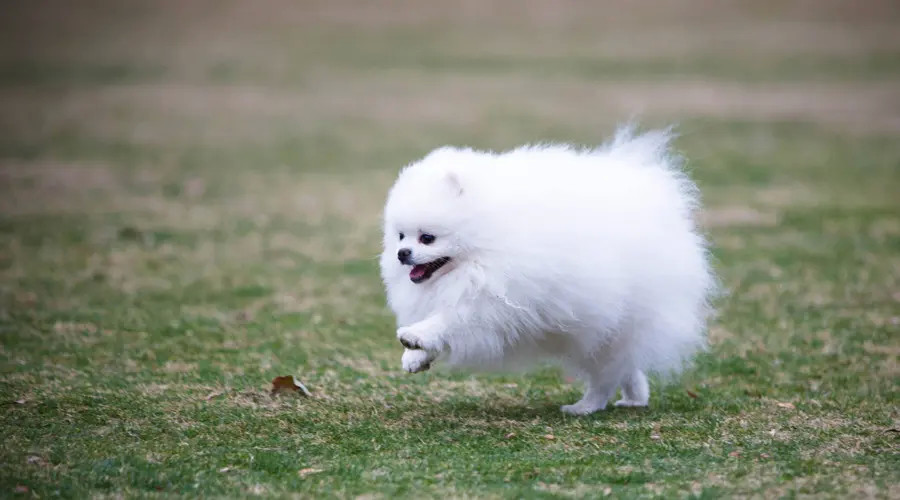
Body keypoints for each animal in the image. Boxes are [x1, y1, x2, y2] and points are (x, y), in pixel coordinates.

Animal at [376, 128, 712, 414]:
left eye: (427, 238)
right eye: (401, 236)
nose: (402, 254)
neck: (486, 242)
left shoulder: (491, 300)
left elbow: (449, 320)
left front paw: (415, 336)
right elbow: (441, 322)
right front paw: (415, 356)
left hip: (606, 328)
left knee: (606, 375)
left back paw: (585, 407)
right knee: (624, 367)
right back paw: (634, 398)